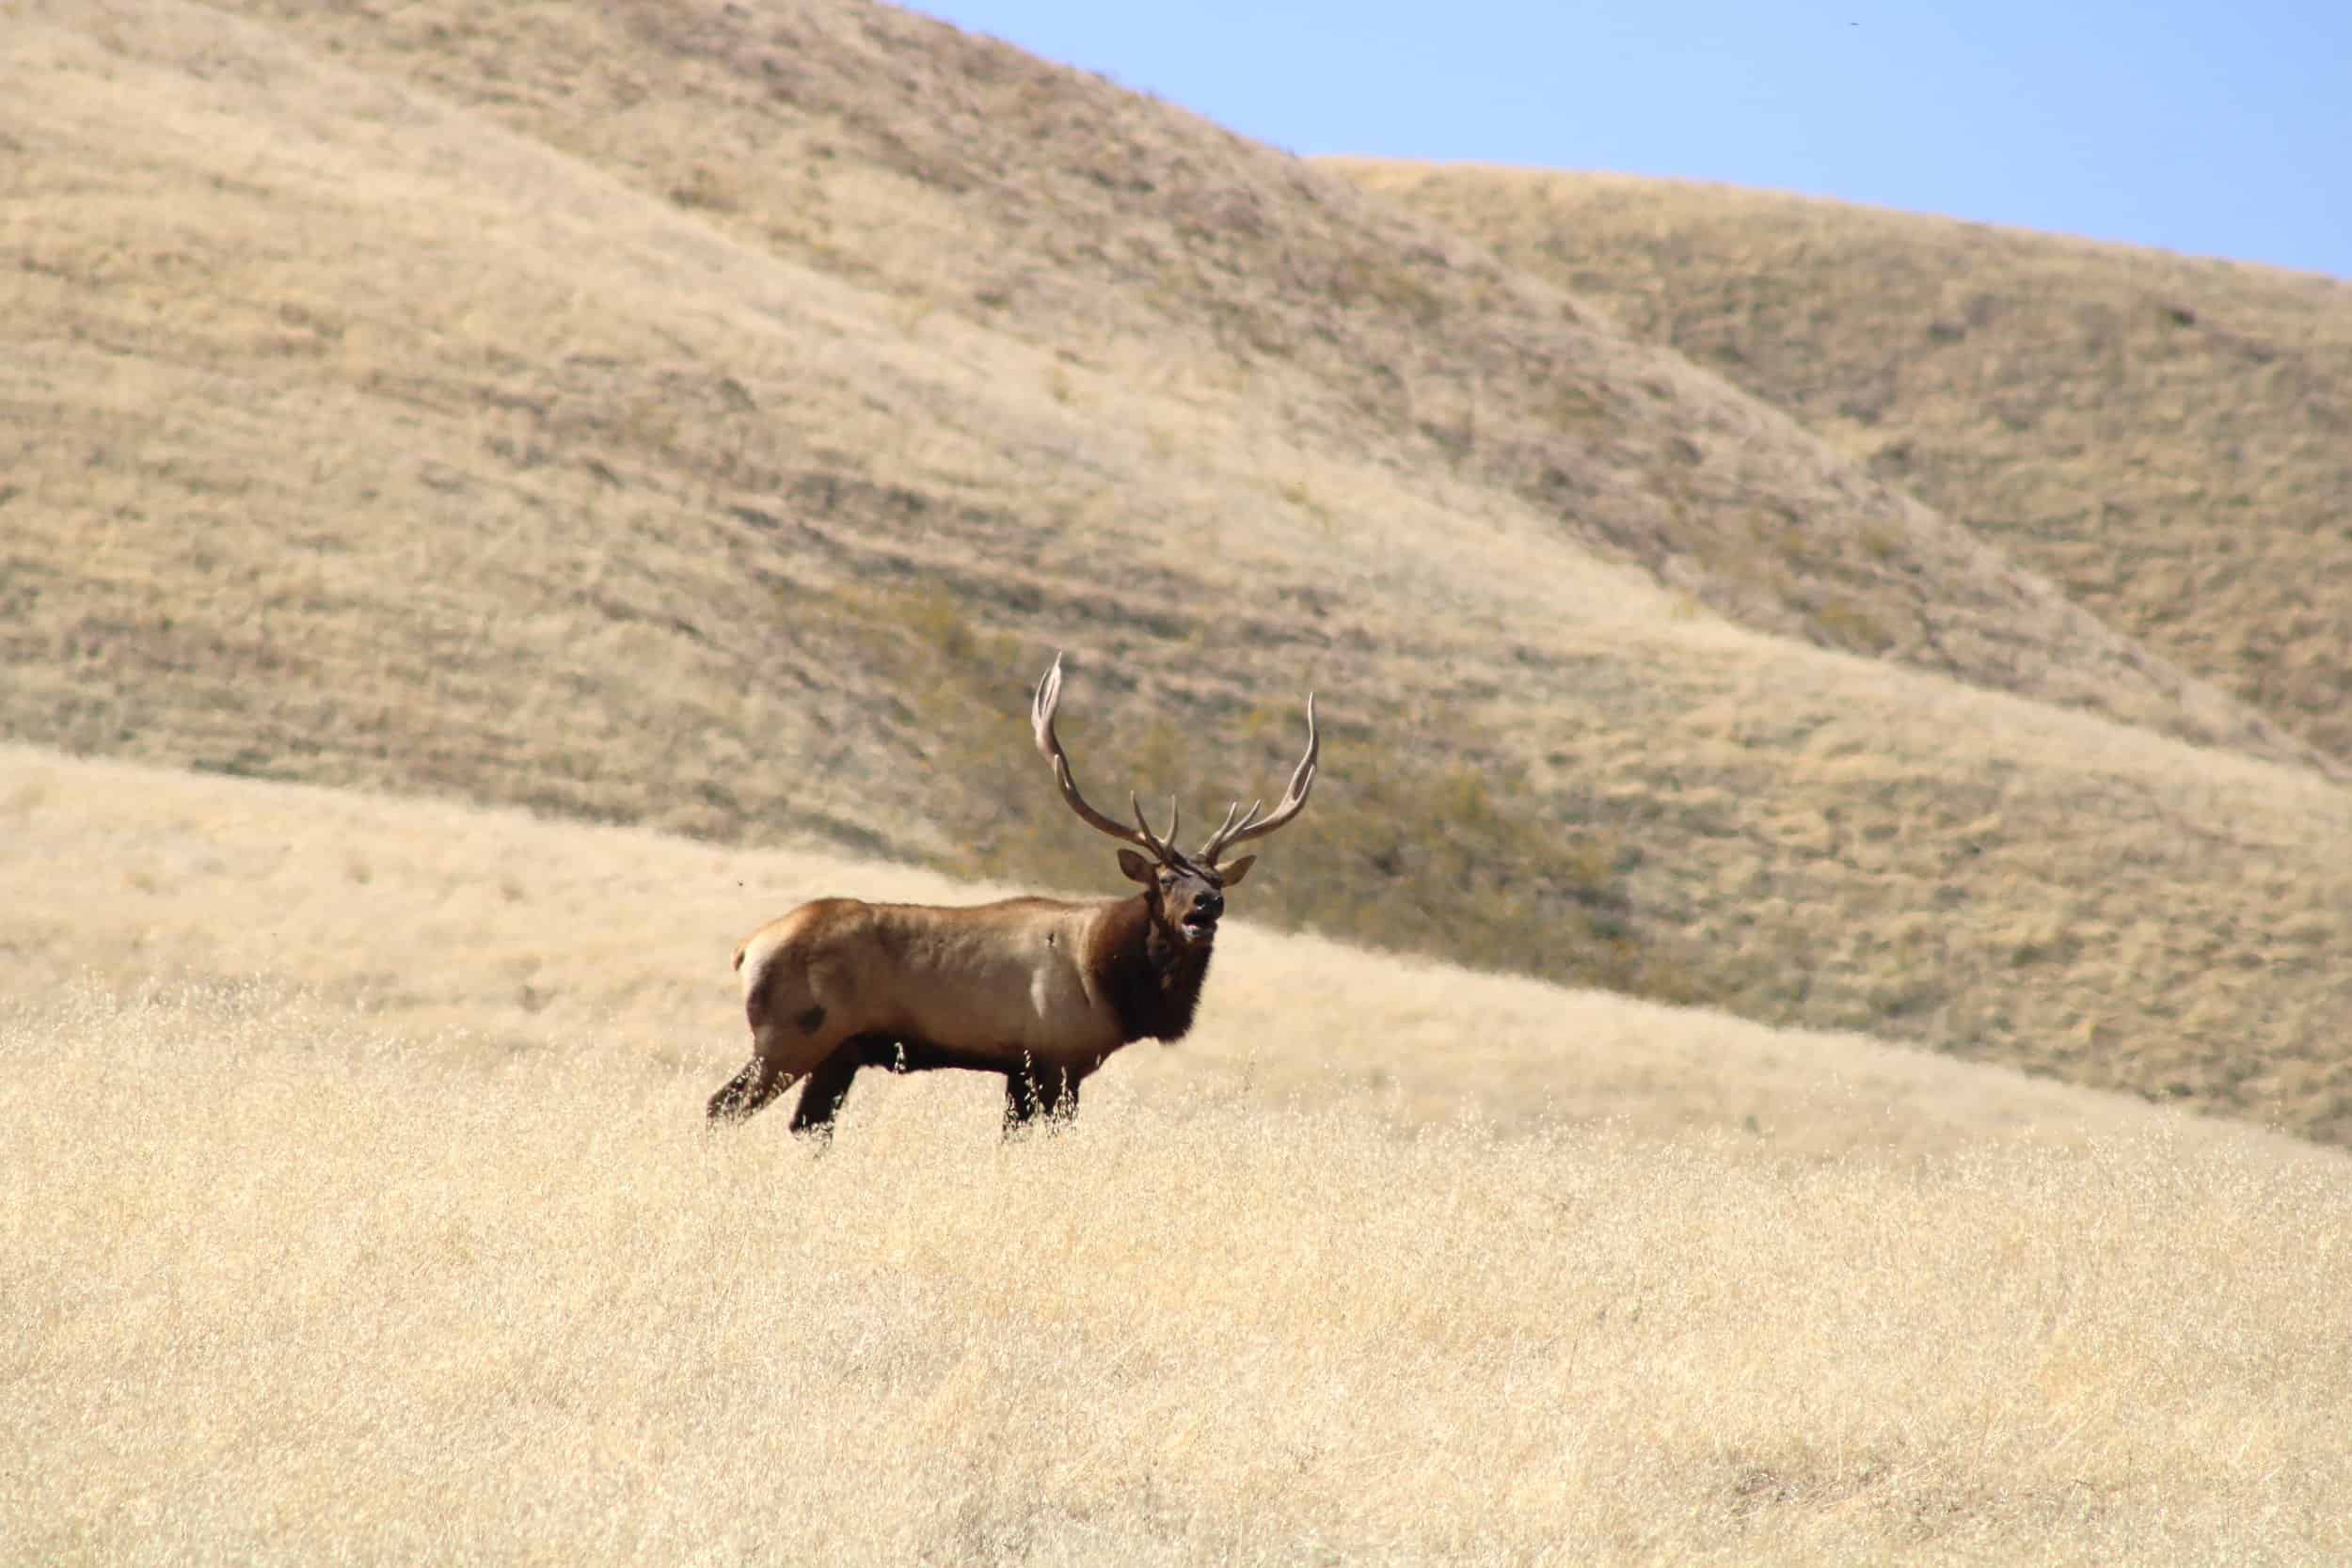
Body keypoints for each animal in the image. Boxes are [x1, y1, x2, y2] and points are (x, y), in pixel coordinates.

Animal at [706, 654, 1319, 1139]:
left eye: (1217, 882)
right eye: (1166, 880)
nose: (1206, 907)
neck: (1109, 980)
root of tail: (745, 949)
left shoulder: (1028, 1071)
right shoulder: (1048, 1061)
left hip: (839, 1052)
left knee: (807, 1127)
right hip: (790, 1035)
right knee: (721, 1106)